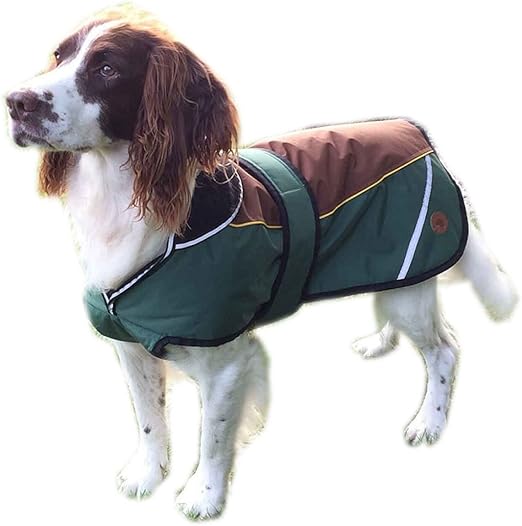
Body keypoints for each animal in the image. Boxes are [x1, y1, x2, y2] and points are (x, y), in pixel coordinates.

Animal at [5, 6, 518, 520]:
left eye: (107, 69)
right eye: (59, 56)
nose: (15, 102)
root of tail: (419, 133)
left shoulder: (226, 362)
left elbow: (212, 438)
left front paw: (204, 496)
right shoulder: (129, 346)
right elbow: (149, 419)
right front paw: (147, 476)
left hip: (413, 290)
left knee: (444, 349)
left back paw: (429, 422)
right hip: (392, 271)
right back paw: (379, 341)